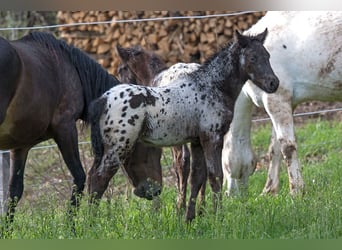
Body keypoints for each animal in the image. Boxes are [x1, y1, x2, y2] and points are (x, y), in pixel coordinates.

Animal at [87, 30, 280, 222]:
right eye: (253, 57)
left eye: (268, 56)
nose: (273, 83)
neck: (211, 86)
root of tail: (103, 100)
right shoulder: (212, 138)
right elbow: (215, 176)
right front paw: (218, 217)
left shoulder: (197, 141)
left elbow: (197, 177)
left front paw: (189, 218)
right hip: (118, 147)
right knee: (99, 179)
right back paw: (91, 222)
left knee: (92, 177)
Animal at [222, 11, 342, 195]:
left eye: (224, 165)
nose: (229, 195)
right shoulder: (286, 105)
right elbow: (275, 149)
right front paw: (268, 191)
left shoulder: (277, 100)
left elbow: (287, 147)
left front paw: (296, 191)